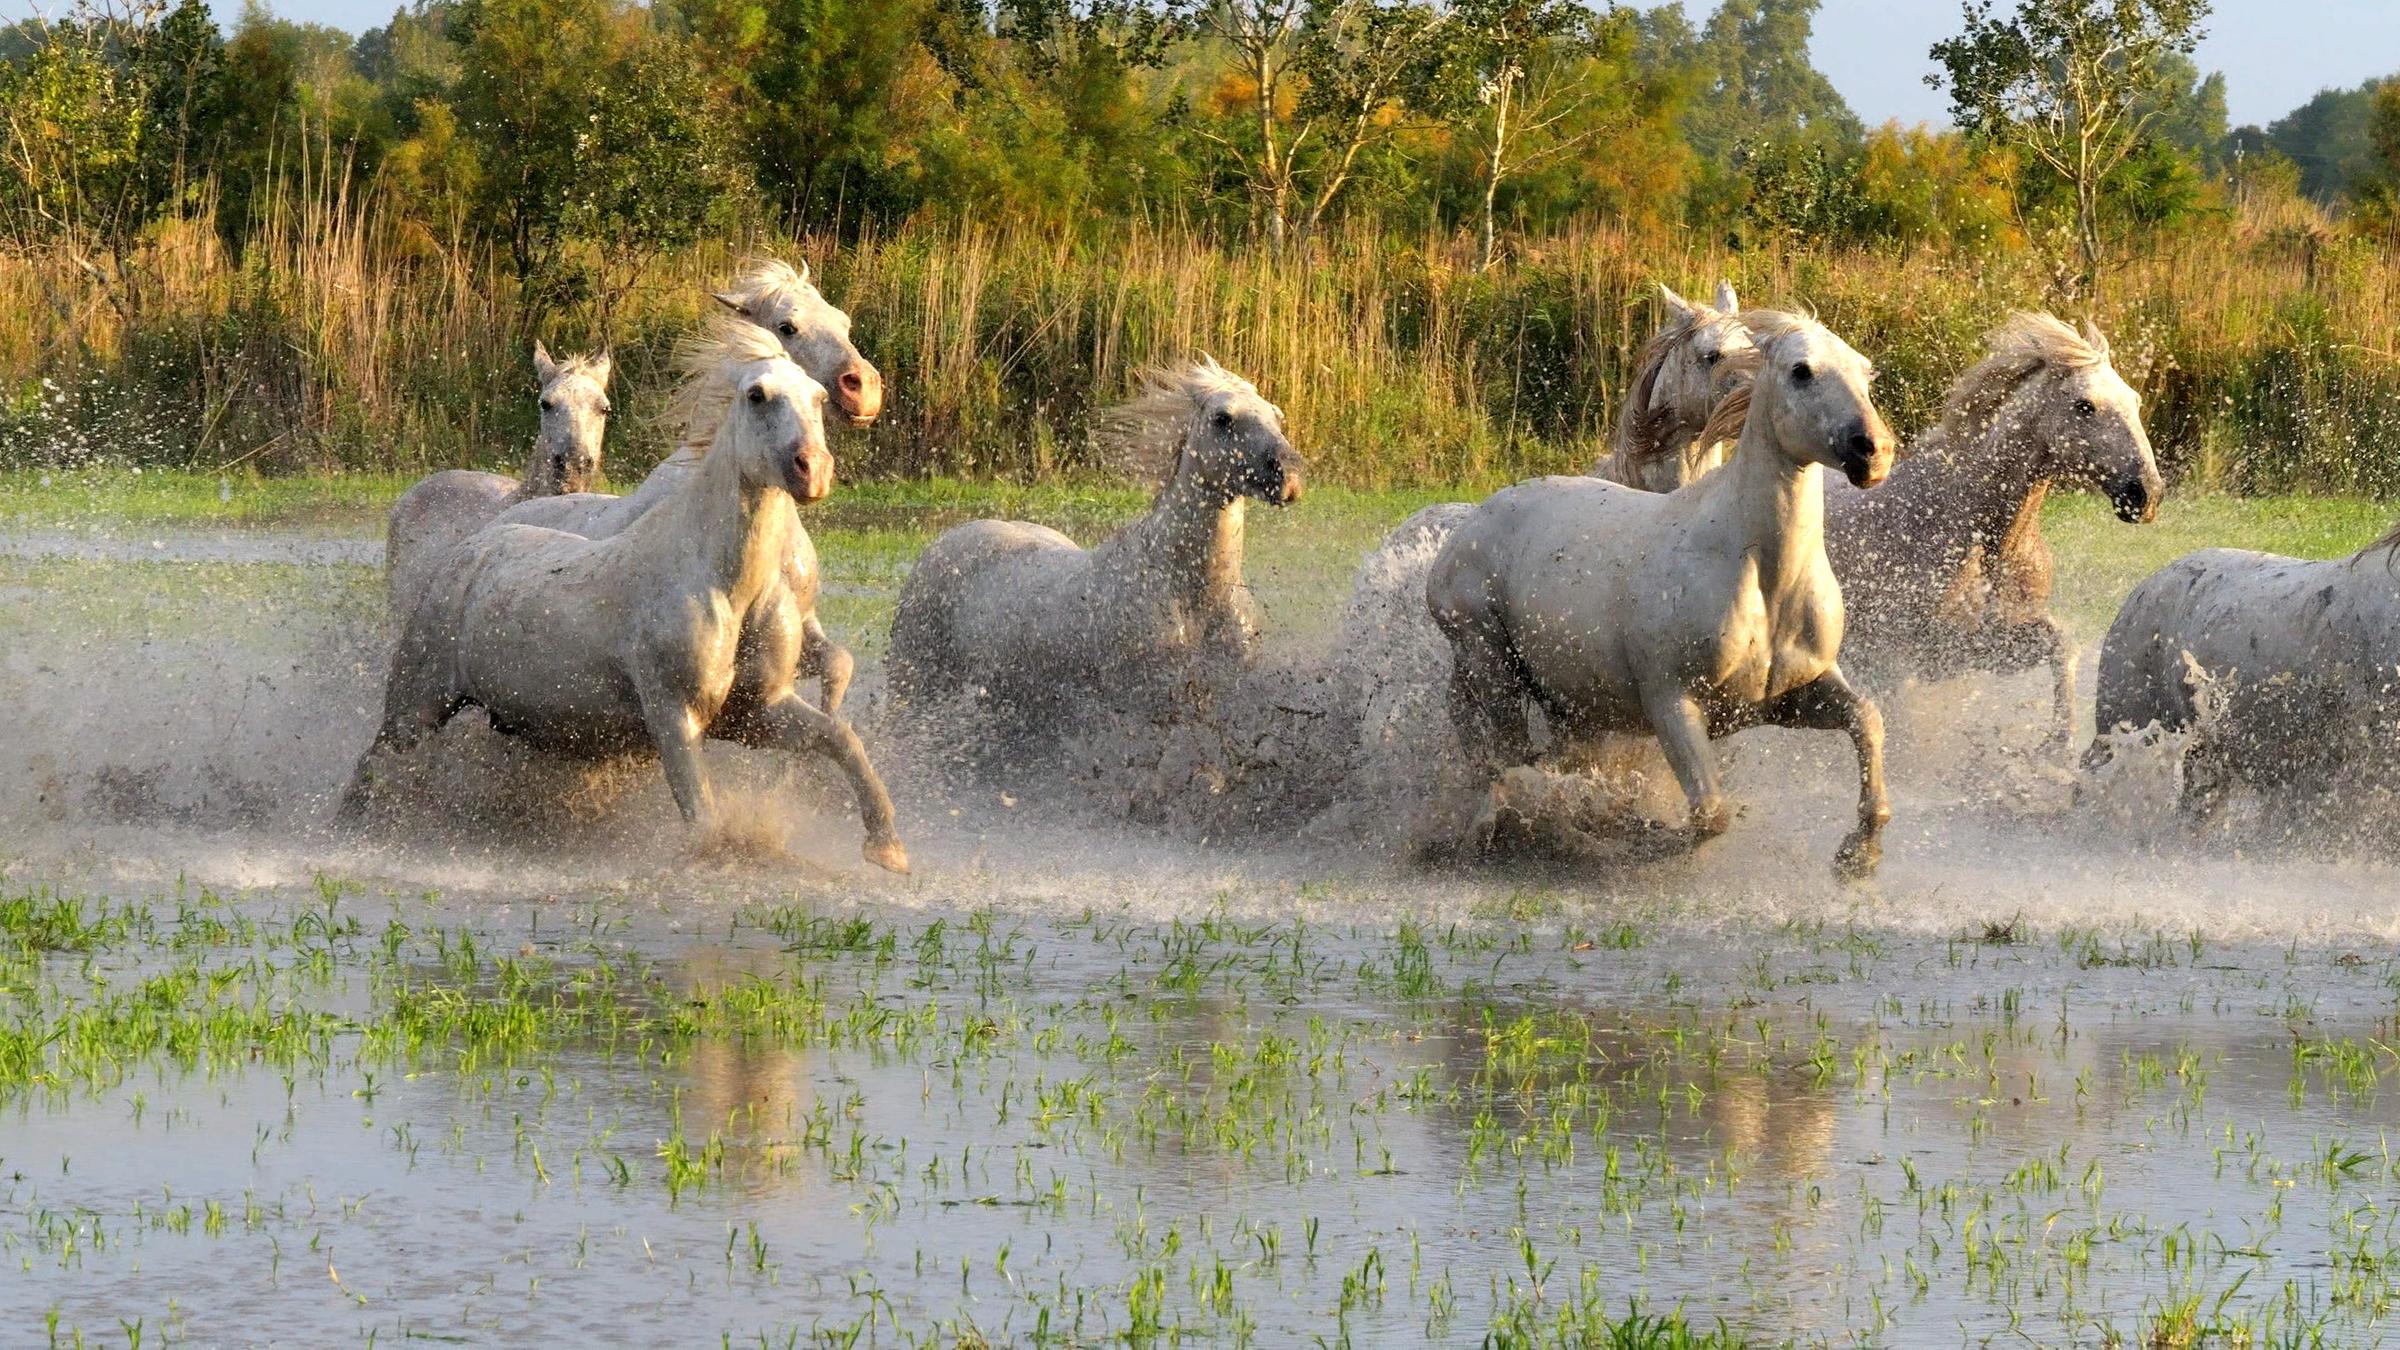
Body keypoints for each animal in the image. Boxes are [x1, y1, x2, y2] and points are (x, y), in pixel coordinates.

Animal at [885, 357, 1301, 741]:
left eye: (1277, 416)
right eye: (1222, 418)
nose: (1290, 474)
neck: (1188, 590)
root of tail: (944, 541)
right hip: (914, 683)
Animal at [1427, 310, 1900, 878]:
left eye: (1867, 372)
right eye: (1801, 371)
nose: (1873, 452)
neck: (1759, 575)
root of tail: (1470, 526)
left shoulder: (1791, 695)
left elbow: (1866, 717)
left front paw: (1859, 854)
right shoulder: (1671, 702)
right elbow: (1710, 814)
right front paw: (1637, 840)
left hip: (1568, 701)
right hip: (1490, 664)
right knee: (1505, 758)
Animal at [1822, 313, 2163, 751]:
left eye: (2135, 401)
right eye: (2084, 406)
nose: (2147, 493)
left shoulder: (1992, 643)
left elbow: (2062, 643)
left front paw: (2057, 740)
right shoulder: (1925, 654)